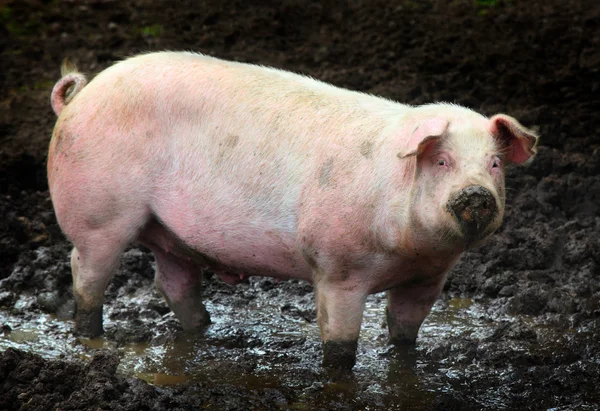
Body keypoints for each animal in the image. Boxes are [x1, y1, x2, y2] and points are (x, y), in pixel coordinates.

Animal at [48, 51, 540, 370]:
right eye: (442, 162)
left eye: (494, 164)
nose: (476, 193)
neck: (407, 251)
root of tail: (79, 96)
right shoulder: (337, 268)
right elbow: (339, 345)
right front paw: (339, 374)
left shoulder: (428, 278)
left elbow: (405, 334)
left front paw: (402, 362)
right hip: (97, 213)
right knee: (85, 271)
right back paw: (90, 338)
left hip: (169, 234)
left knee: (171, 282)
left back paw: (202, 331)